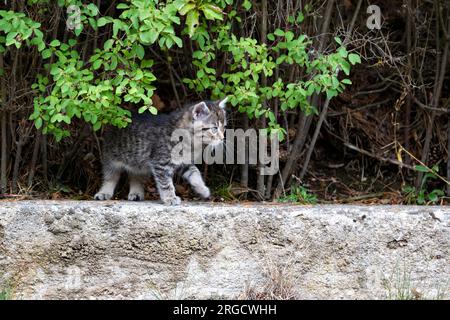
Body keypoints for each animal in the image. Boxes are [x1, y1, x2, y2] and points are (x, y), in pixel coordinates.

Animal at [93, 97, 227, 206]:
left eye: (224, 127)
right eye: (214, 128)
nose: (222, 138)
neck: (190, 141)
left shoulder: (184, 162)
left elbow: (195, 173)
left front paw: (203, 189)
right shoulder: (160, 163)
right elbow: (165, 183)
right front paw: (170, 198)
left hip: (138, 162)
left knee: (136, 175)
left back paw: (136, 192)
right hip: (111, 156)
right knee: (111, 176)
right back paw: (105, 192)